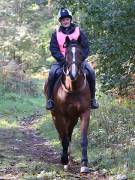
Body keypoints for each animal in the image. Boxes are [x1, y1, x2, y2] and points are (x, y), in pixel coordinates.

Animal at [44, 35, 91, 172]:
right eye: (67, 53)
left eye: (80, 53)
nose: (73, 74)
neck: (73, 88)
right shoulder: (60, 116)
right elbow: (64, 138)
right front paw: (64, 160)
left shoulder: (84, 113)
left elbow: (83, 139)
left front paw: (84, 164)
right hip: (56, 116)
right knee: (63, 135)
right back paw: (66, 160)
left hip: (73, 118)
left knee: (69, 134)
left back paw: (70, 159)